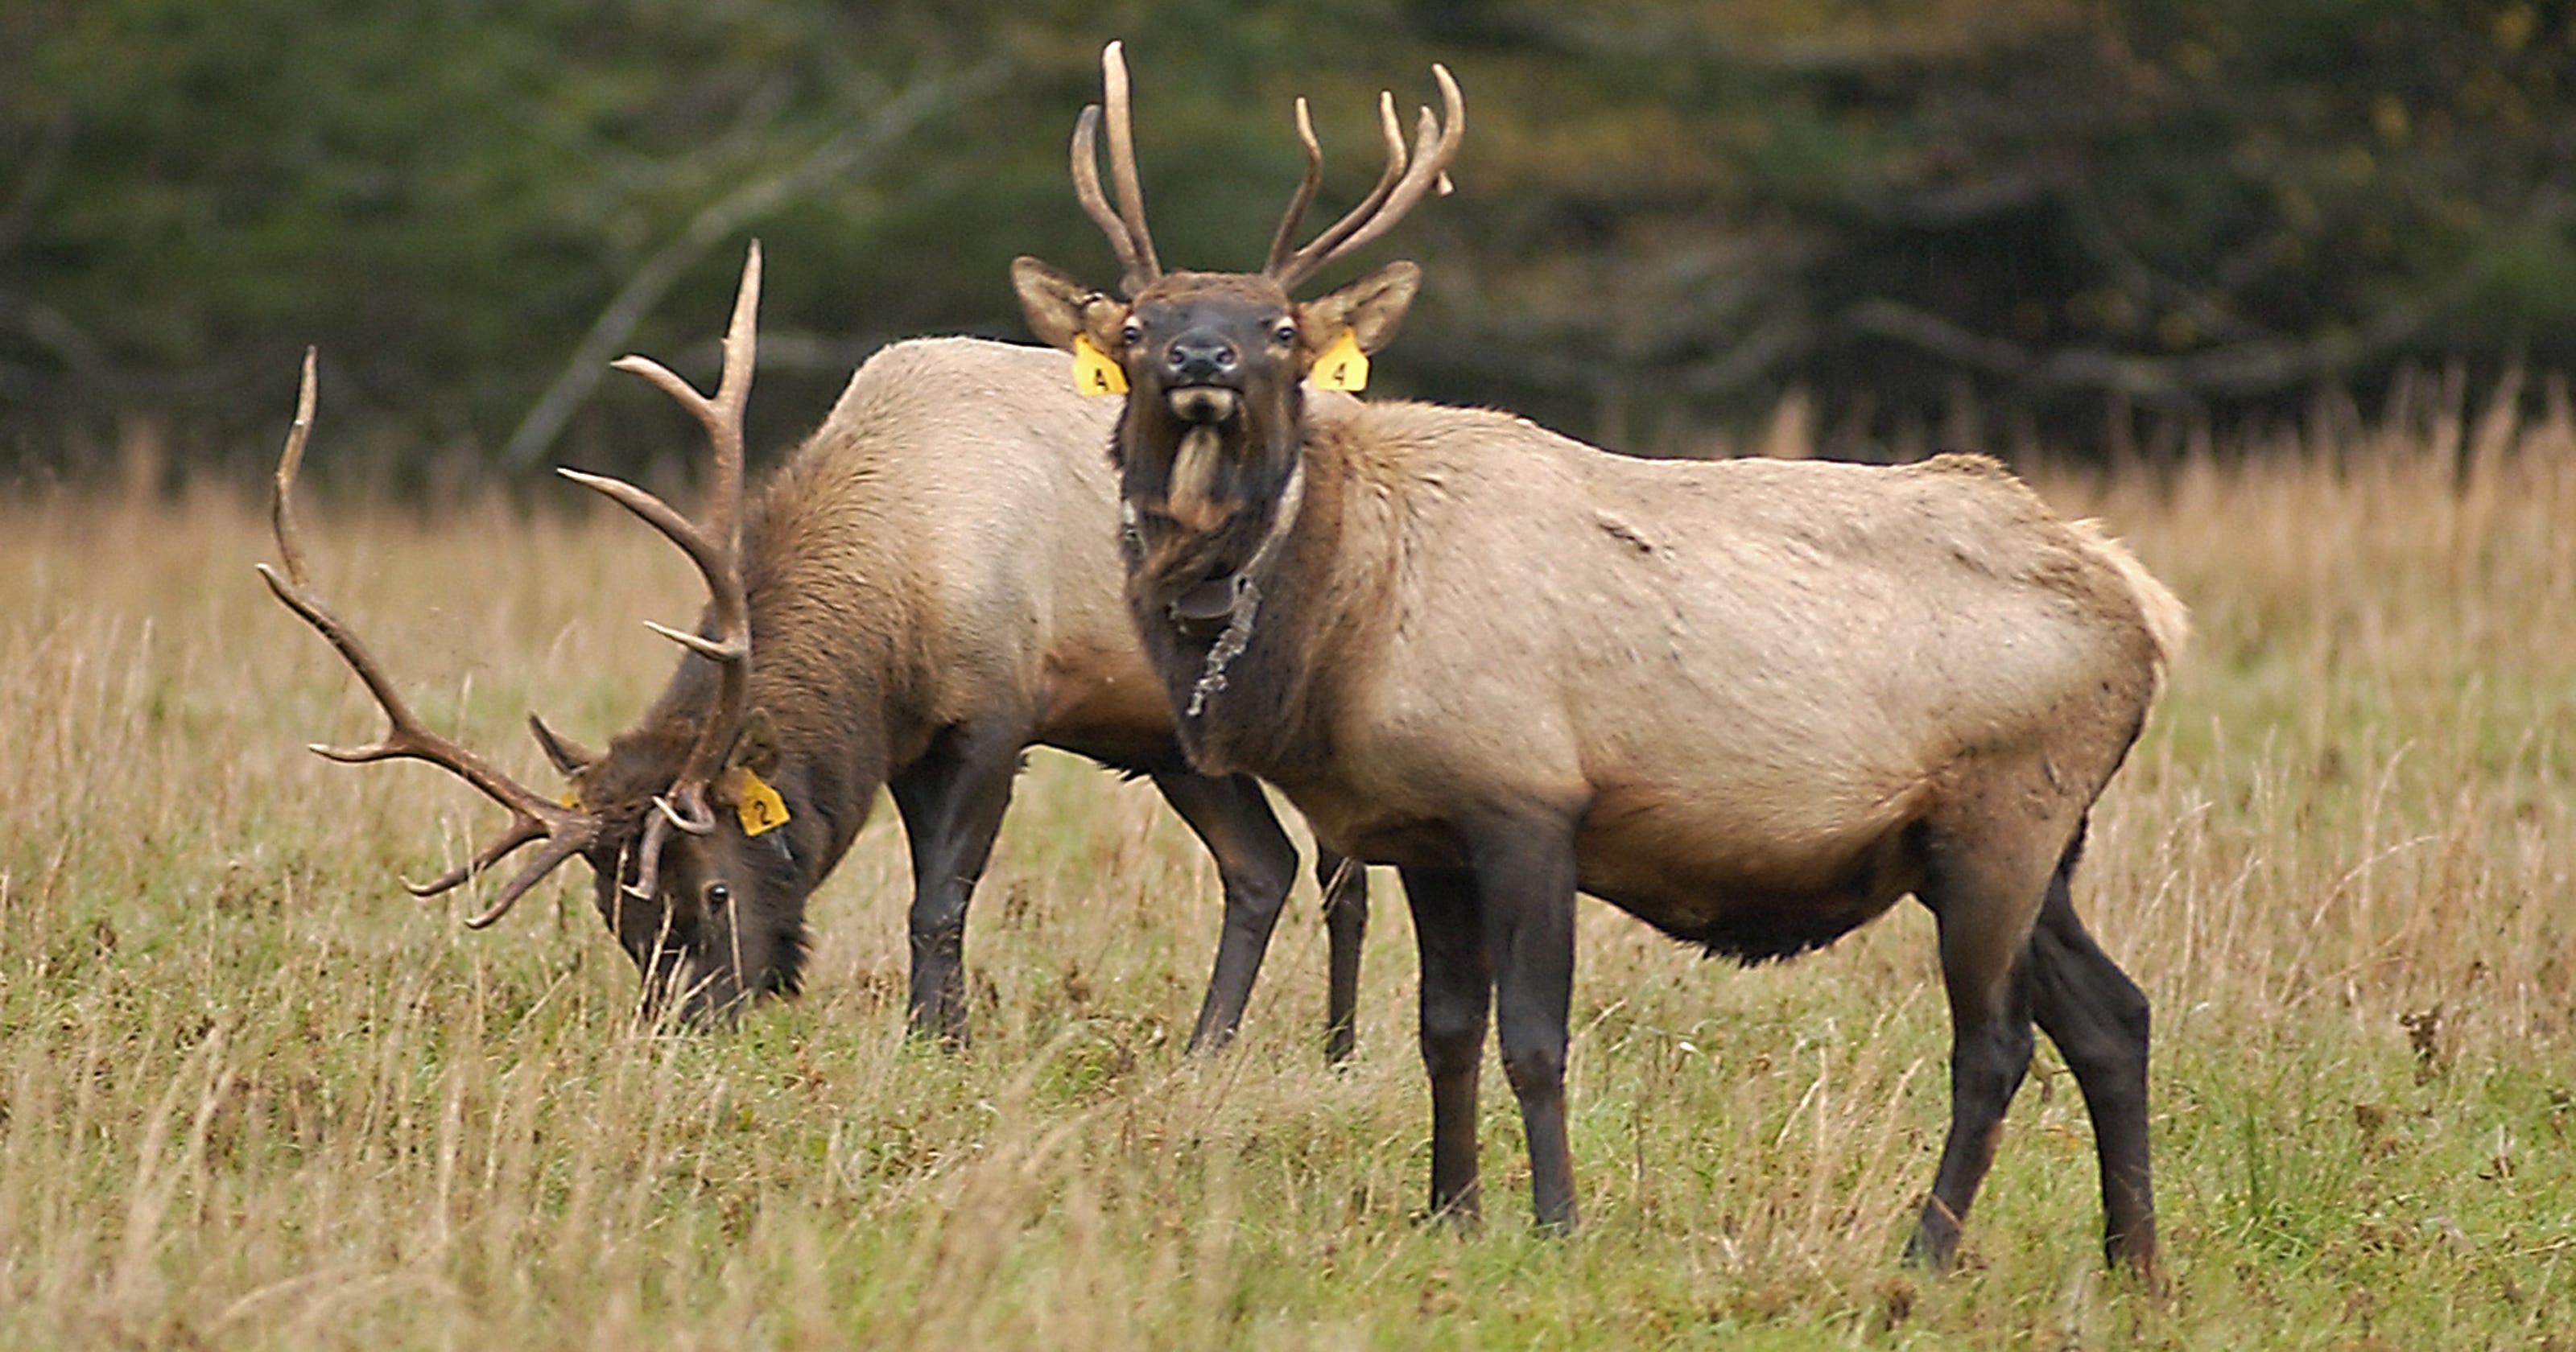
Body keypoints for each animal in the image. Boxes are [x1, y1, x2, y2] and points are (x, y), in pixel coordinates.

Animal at [260, 241, 1376, 1057]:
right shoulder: (916, 740)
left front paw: (937, 1045)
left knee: (1337, 867)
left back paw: (1334, 1051)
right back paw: (1217, 1050)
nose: (682, 1028)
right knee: (1267, 867)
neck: (899, 588)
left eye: (713, 888)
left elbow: (938, 904)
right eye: (616, 915)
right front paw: (940, 1035)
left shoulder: (995, 711)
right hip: (1169, 742)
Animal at [1009, 43, 2187, 1279]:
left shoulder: (1527, 796)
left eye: (1280, 328)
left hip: (2003, 816)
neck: (1341, 626)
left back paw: (1924, 1256)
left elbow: (1534, 1038)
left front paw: (1556, 1222)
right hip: (2034, 843)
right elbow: (1444, 1032)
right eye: (1137, 326)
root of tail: (2146, 608)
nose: (1203, 357)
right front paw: (1450, 1210)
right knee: (2114, 1015)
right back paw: (2136, 1262)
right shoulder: (1424, 829)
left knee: (1997, 1044)